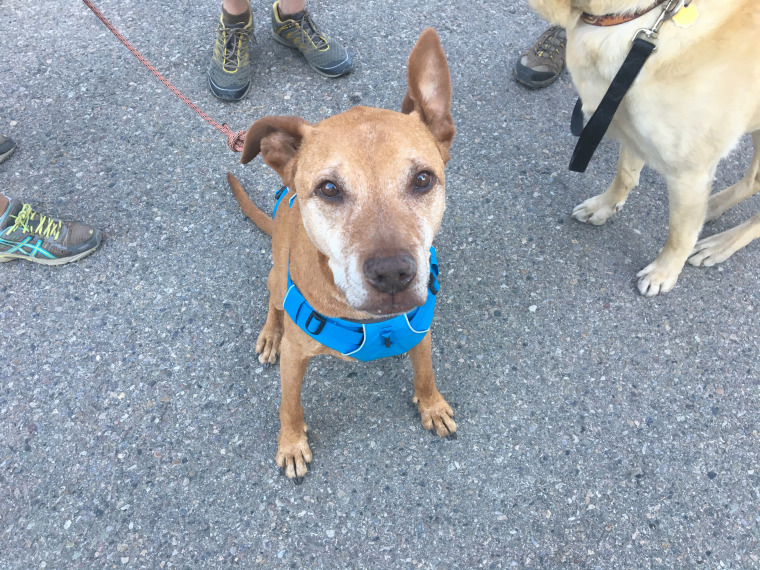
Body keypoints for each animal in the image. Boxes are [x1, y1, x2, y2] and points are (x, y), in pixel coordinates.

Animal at [229, 27, 458, 480]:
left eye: (423, 179)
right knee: (272, 302)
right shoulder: (296, 358)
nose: (393, 274)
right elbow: (289, 405)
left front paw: (432, 404)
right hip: (276, 277)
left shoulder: (422, 330)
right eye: (329, 189)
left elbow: (425, 371)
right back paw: (269, 334)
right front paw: (291, 443)